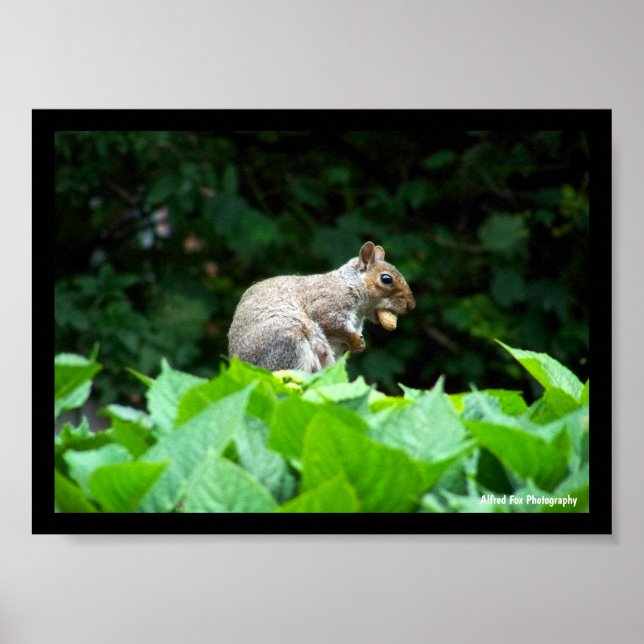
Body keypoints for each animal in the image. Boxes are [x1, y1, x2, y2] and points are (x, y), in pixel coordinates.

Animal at [227, 241, 415, 373]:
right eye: (386, 279)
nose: (411, 305)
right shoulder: (327, 305)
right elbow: (334, 324)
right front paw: (355, 341)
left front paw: (359, 345)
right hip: (288, 342)